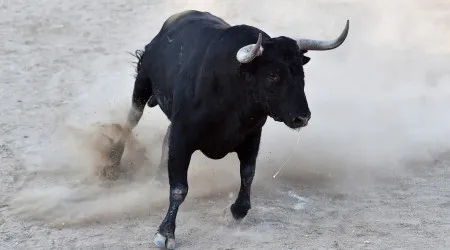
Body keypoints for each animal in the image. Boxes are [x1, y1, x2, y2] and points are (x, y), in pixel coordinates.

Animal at [106, 9, 352, 248]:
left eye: (300, 72)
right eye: (273, 74)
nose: (303, 117)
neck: (232, 92)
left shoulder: (252, 136)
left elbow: (248, 173)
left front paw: (236, 211)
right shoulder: (183, 136)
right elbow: (179, 187)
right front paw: (165, 233)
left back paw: (156, 177)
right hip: (142, 84)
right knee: (131, 120)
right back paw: (112, 163)